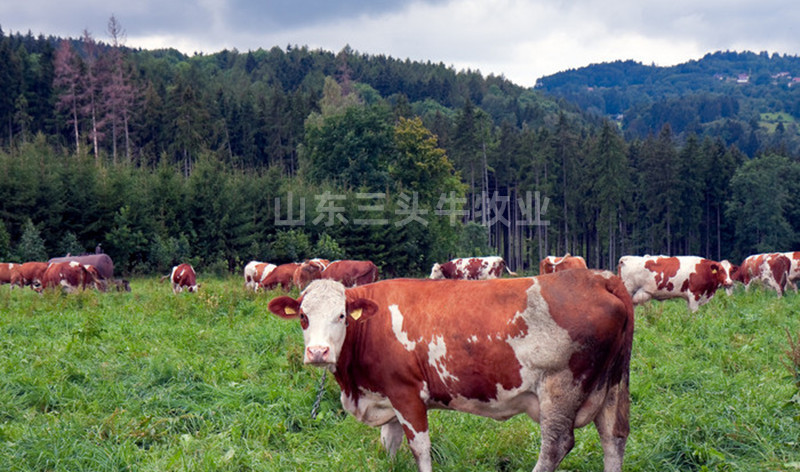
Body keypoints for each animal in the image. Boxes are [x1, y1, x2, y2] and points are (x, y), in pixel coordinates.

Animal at [268, 270, 632, 472]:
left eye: (341, 315)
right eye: (303, 317)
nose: (318, 352)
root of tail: (599, 277)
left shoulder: (406, 393)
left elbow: (419, 448)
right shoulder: (386, 396)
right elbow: (389, 444)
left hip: (561, 387)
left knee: (556, 444)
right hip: (613, 386)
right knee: (613, 438)